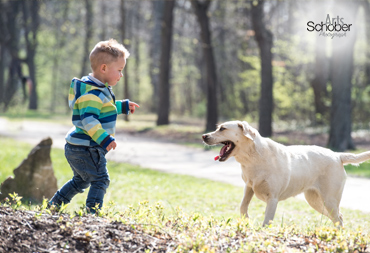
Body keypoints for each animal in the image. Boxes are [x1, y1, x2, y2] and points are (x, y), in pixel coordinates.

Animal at [202, 121, 370, 226]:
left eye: (222, 129)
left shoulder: (273, 198)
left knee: (338, 219)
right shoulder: (249, 187)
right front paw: (246, 222)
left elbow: (266, 221)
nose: (204, 136)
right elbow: (243, 206)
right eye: (218, 128)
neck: (253, 158)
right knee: (338, 218)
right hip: (316, 201)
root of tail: (338, 155)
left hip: (329, 200)